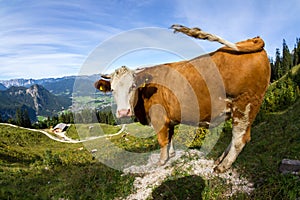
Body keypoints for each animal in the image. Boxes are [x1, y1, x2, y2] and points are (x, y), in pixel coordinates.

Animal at [95, 24, 270, 172]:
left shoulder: (158, 118)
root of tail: (250, 40)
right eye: (112, 89)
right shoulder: (170, 118)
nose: (123, 112)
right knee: (236, 138)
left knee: (240, 138)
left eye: (133, 86)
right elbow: (171, 136)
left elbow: (163, 140)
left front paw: (161, 161)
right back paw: (220, 159)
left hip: (245, 105)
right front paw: (171, 155)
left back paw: (223, 166)